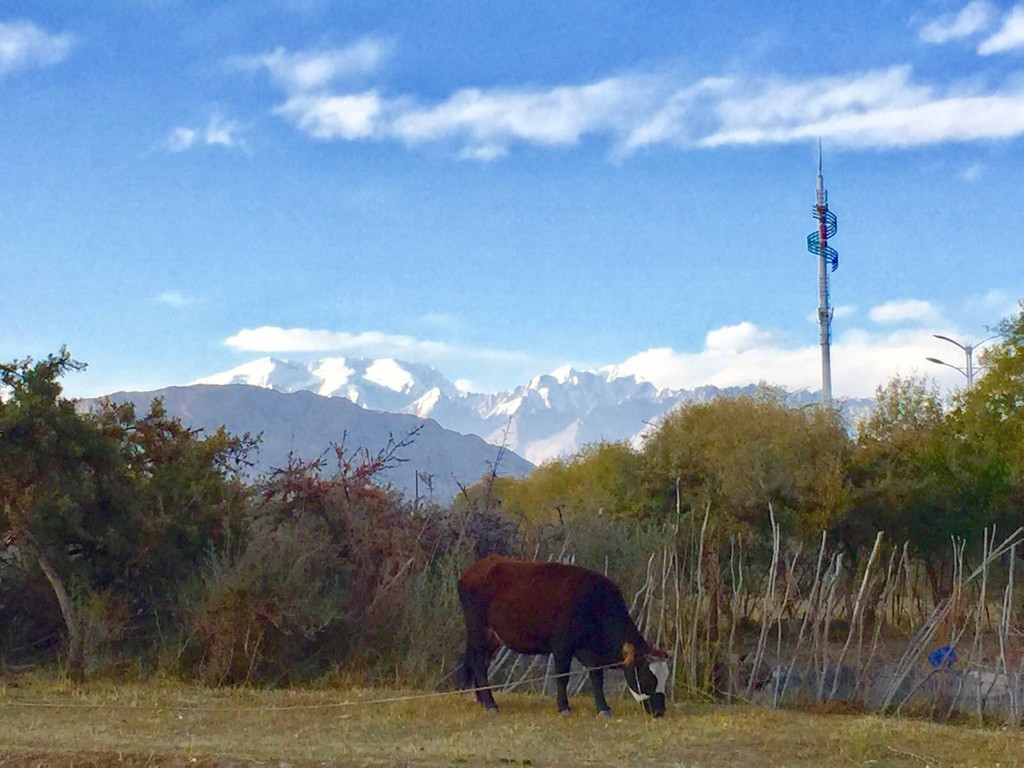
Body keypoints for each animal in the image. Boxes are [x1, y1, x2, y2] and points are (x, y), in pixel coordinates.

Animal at [458, 557, 671, 720]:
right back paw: (490, 703)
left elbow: (596, 677)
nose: (660, 710)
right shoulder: (562, 646)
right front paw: (564, 706)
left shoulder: (589, 651)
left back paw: (481, 699)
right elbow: (562, 676)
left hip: (492, 638)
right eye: (648, 677)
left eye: (665, 678)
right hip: (479, 631)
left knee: (480, 663)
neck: (594, 604)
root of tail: (476, 567)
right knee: (479, 663)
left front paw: (603, 708)